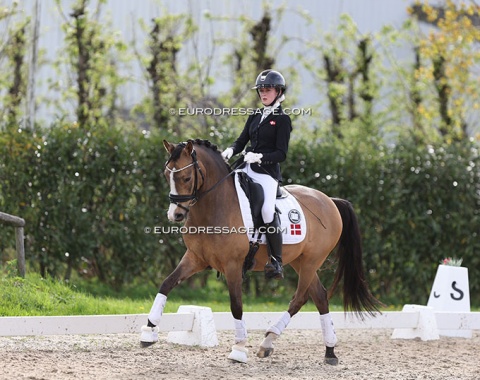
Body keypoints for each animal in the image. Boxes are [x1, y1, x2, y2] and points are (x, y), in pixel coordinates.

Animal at [141, 138, 380, 364]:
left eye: (187, 178)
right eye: (166, 175)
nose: (176, 215)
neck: (214, 205)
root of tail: (330, 200)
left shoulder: (233, 265)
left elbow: (236, 305)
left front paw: (238, 349)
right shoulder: (195, 258)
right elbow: (166, 284)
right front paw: (149, 332)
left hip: (312, 261)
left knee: (299, 298)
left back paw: (271, 339)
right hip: (300, 261)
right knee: (319, 297)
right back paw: (327, 351)